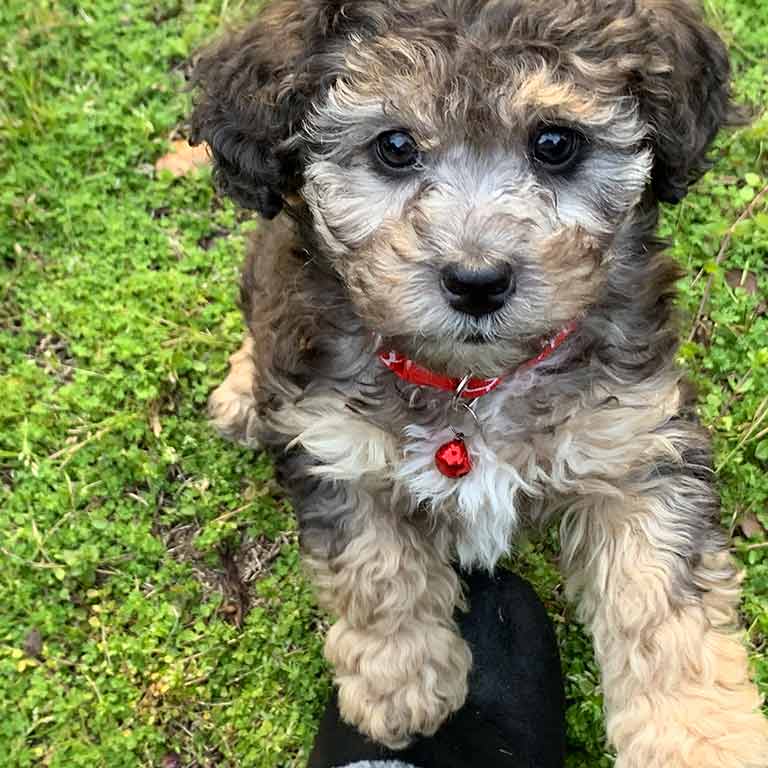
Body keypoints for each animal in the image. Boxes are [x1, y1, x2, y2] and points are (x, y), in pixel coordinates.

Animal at [189, 3, 768, 764]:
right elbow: (375, 566)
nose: (476, 282)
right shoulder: (335, 443)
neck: (474, 383)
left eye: (555, 143)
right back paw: (241, 394)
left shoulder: (636, 446)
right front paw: (400, 683)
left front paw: (699, 736)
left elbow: (666, 606)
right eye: (394, 146)